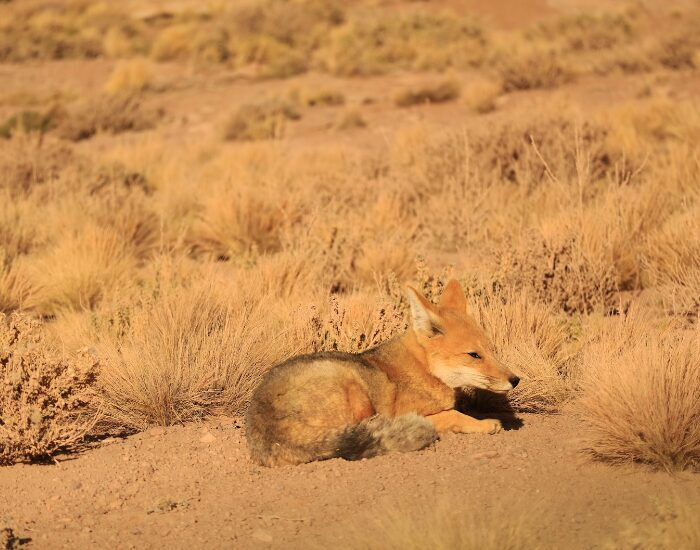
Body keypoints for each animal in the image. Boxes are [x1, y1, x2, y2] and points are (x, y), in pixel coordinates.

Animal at [246, 279, 520, 466]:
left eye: (491, 350)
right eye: (474, 355)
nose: (515, 380)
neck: (422, 369)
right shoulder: (413, 411)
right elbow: (453, 414)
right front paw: (485, 424)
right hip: (353, 385)